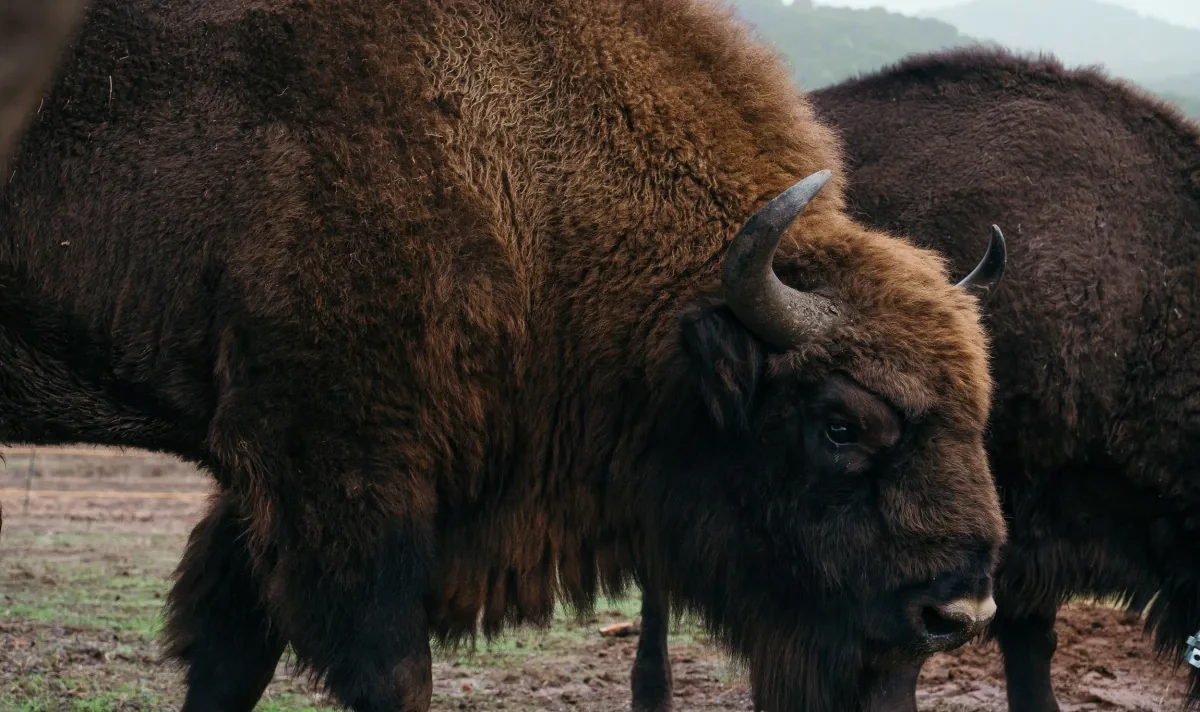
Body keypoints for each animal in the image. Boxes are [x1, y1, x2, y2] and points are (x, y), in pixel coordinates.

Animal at [3, 3, 1008, 711]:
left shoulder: (262, 503)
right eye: (840, 424)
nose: (958, 612)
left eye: (978, 412)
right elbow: (388, 672)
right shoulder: (337, 477)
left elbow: (231, 655)